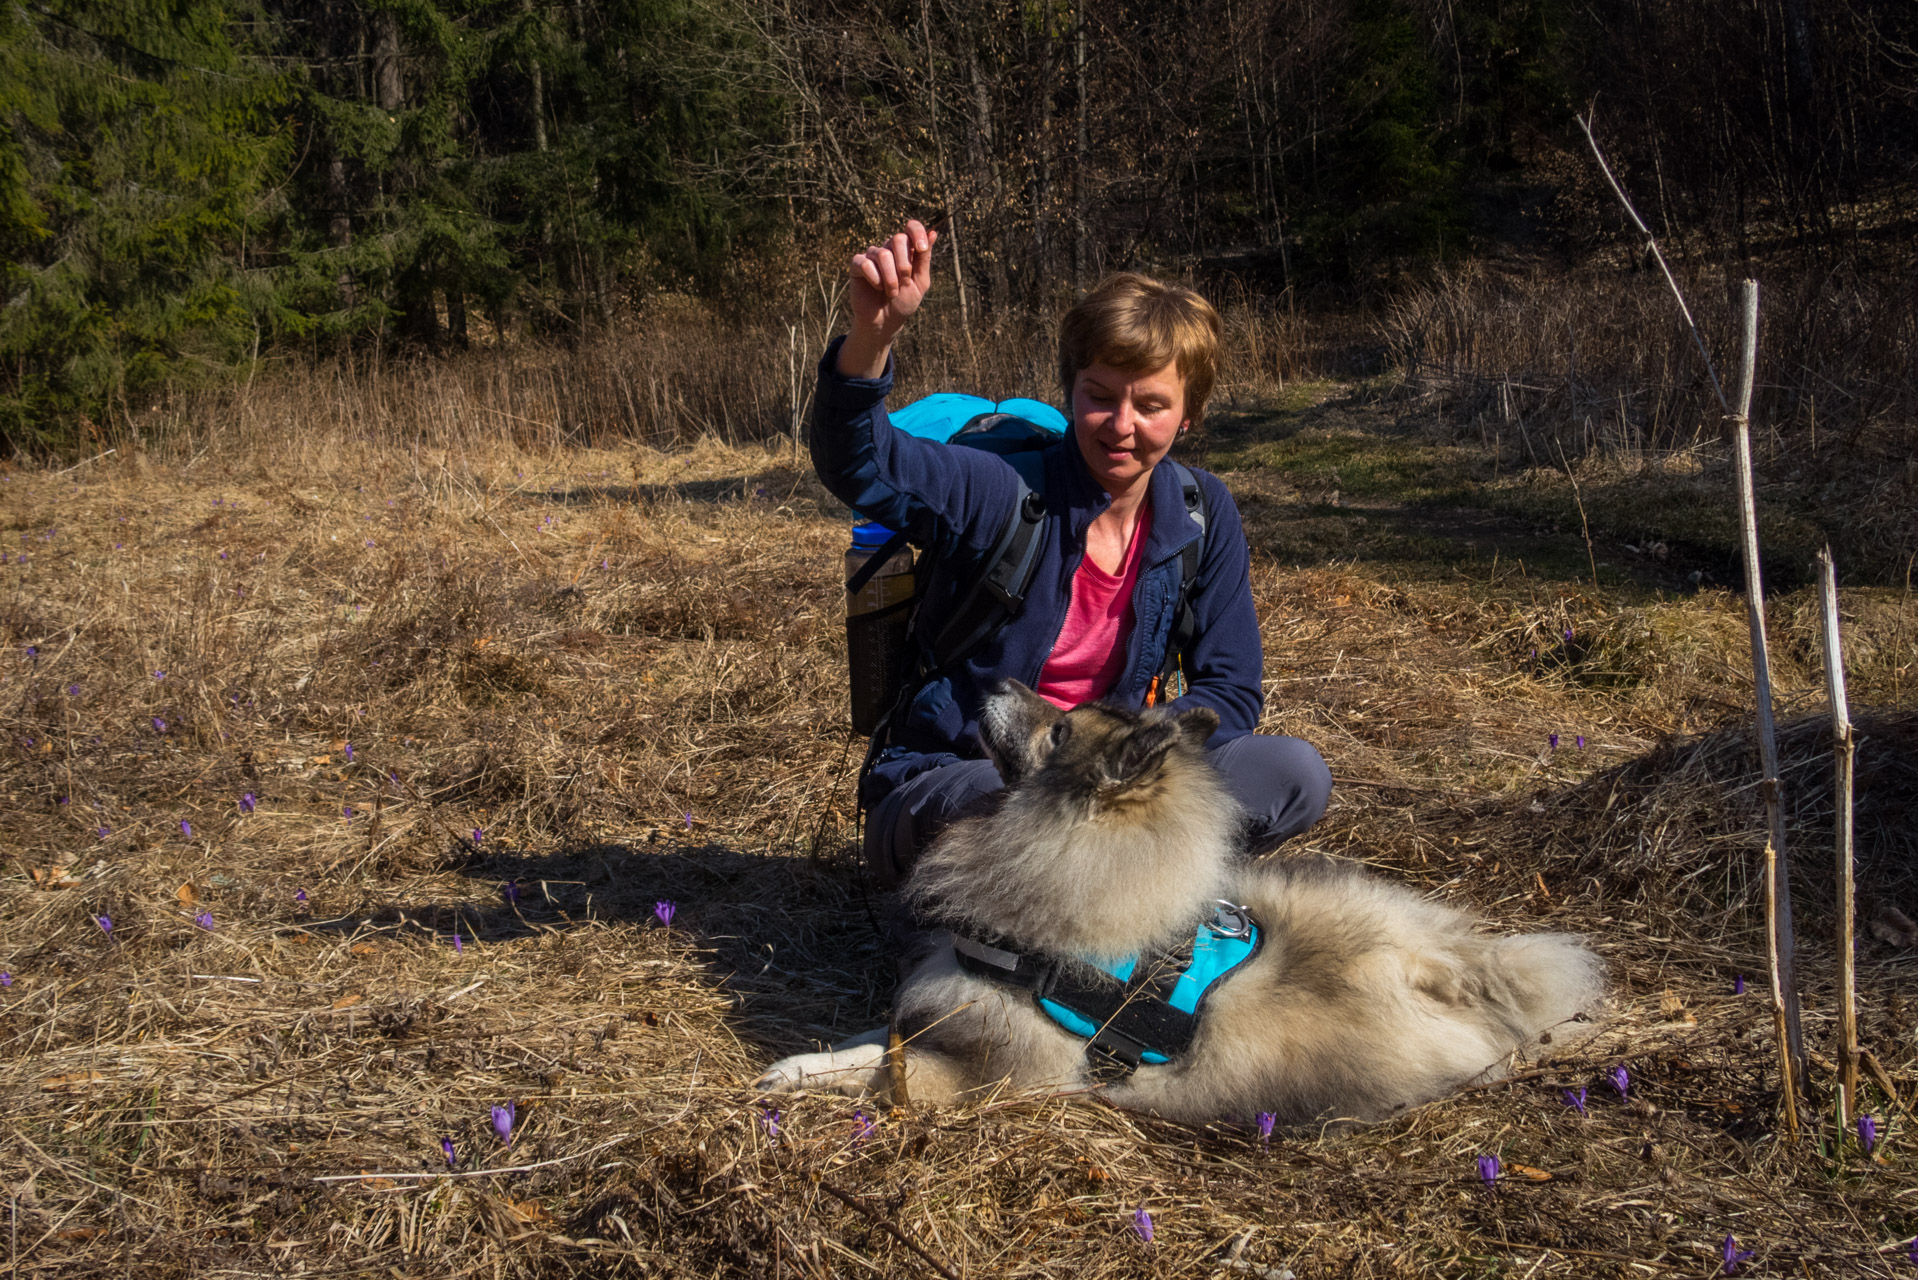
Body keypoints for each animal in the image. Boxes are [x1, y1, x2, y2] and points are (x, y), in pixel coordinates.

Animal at [751, 679, 1603, 1120]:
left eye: (1059, 732)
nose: (988, 680)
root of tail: (1454, 972)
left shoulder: (993, 1077)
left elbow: (882, 1070)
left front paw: (806, 1080)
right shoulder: (946, 1006)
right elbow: (871, 1038)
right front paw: (797, 1063)